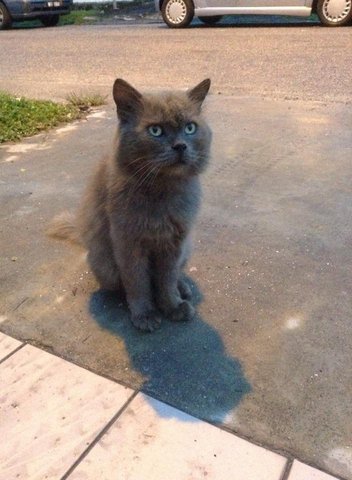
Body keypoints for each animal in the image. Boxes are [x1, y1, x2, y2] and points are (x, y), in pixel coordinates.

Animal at [46, 79, 212, 334]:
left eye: (190, 128)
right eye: (155, 131)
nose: (180, 146)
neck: (161, 191)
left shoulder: (174, 242)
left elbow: (167, 279)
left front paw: (172, 305)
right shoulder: (128, 242)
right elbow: (138, 283)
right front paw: (145, 314)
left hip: (186, 248)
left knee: (178, 274)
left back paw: (183, 288)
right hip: (105, 265)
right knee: (121, 285)